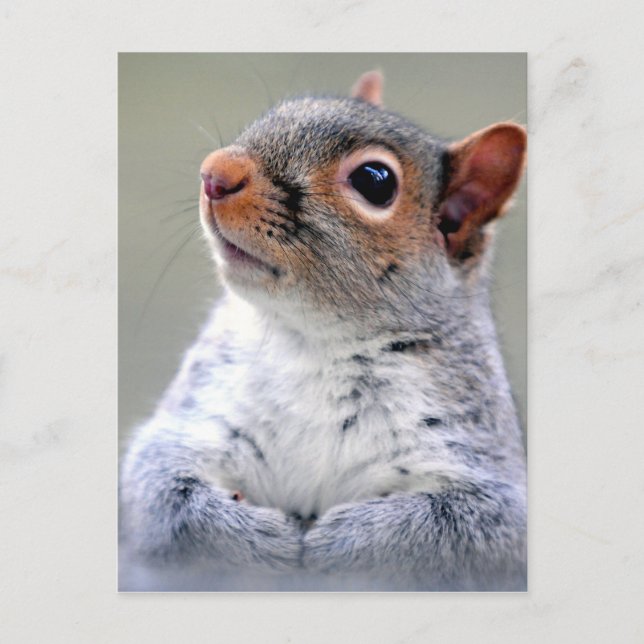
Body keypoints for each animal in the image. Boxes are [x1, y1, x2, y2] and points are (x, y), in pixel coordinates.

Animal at [120, 71, 527, 591]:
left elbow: (461, 531)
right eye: (280, 111)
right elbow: (160, 494)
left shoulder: (480, 466)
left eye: (374, 181)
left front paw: (345, 543)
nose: (215, 172)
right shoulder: (196, 418)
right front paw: (258, 538)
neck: (315, 342)